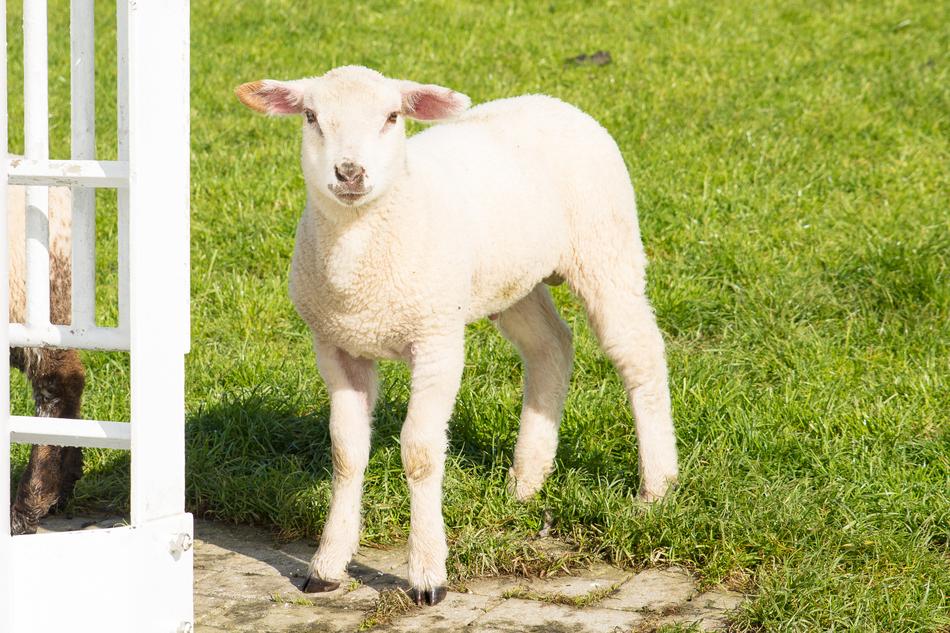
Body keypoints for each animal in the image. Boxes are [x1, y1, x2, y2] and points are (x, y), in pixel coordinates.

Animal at [236, 66, 678, 605]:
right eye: (311, 117)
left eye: (392, 116)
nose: (349, 173)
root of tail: (552, 101)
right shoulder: (336, 346)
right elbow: (345, 452)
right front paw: (327, 565)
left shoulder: (436, 340)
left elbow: (421, 453)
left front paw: (428, 574)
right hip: (514, 280)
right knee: (550, 346)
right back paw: (527, 481)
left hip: (606, 251)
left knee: (639, 355)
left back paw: (656, 487)